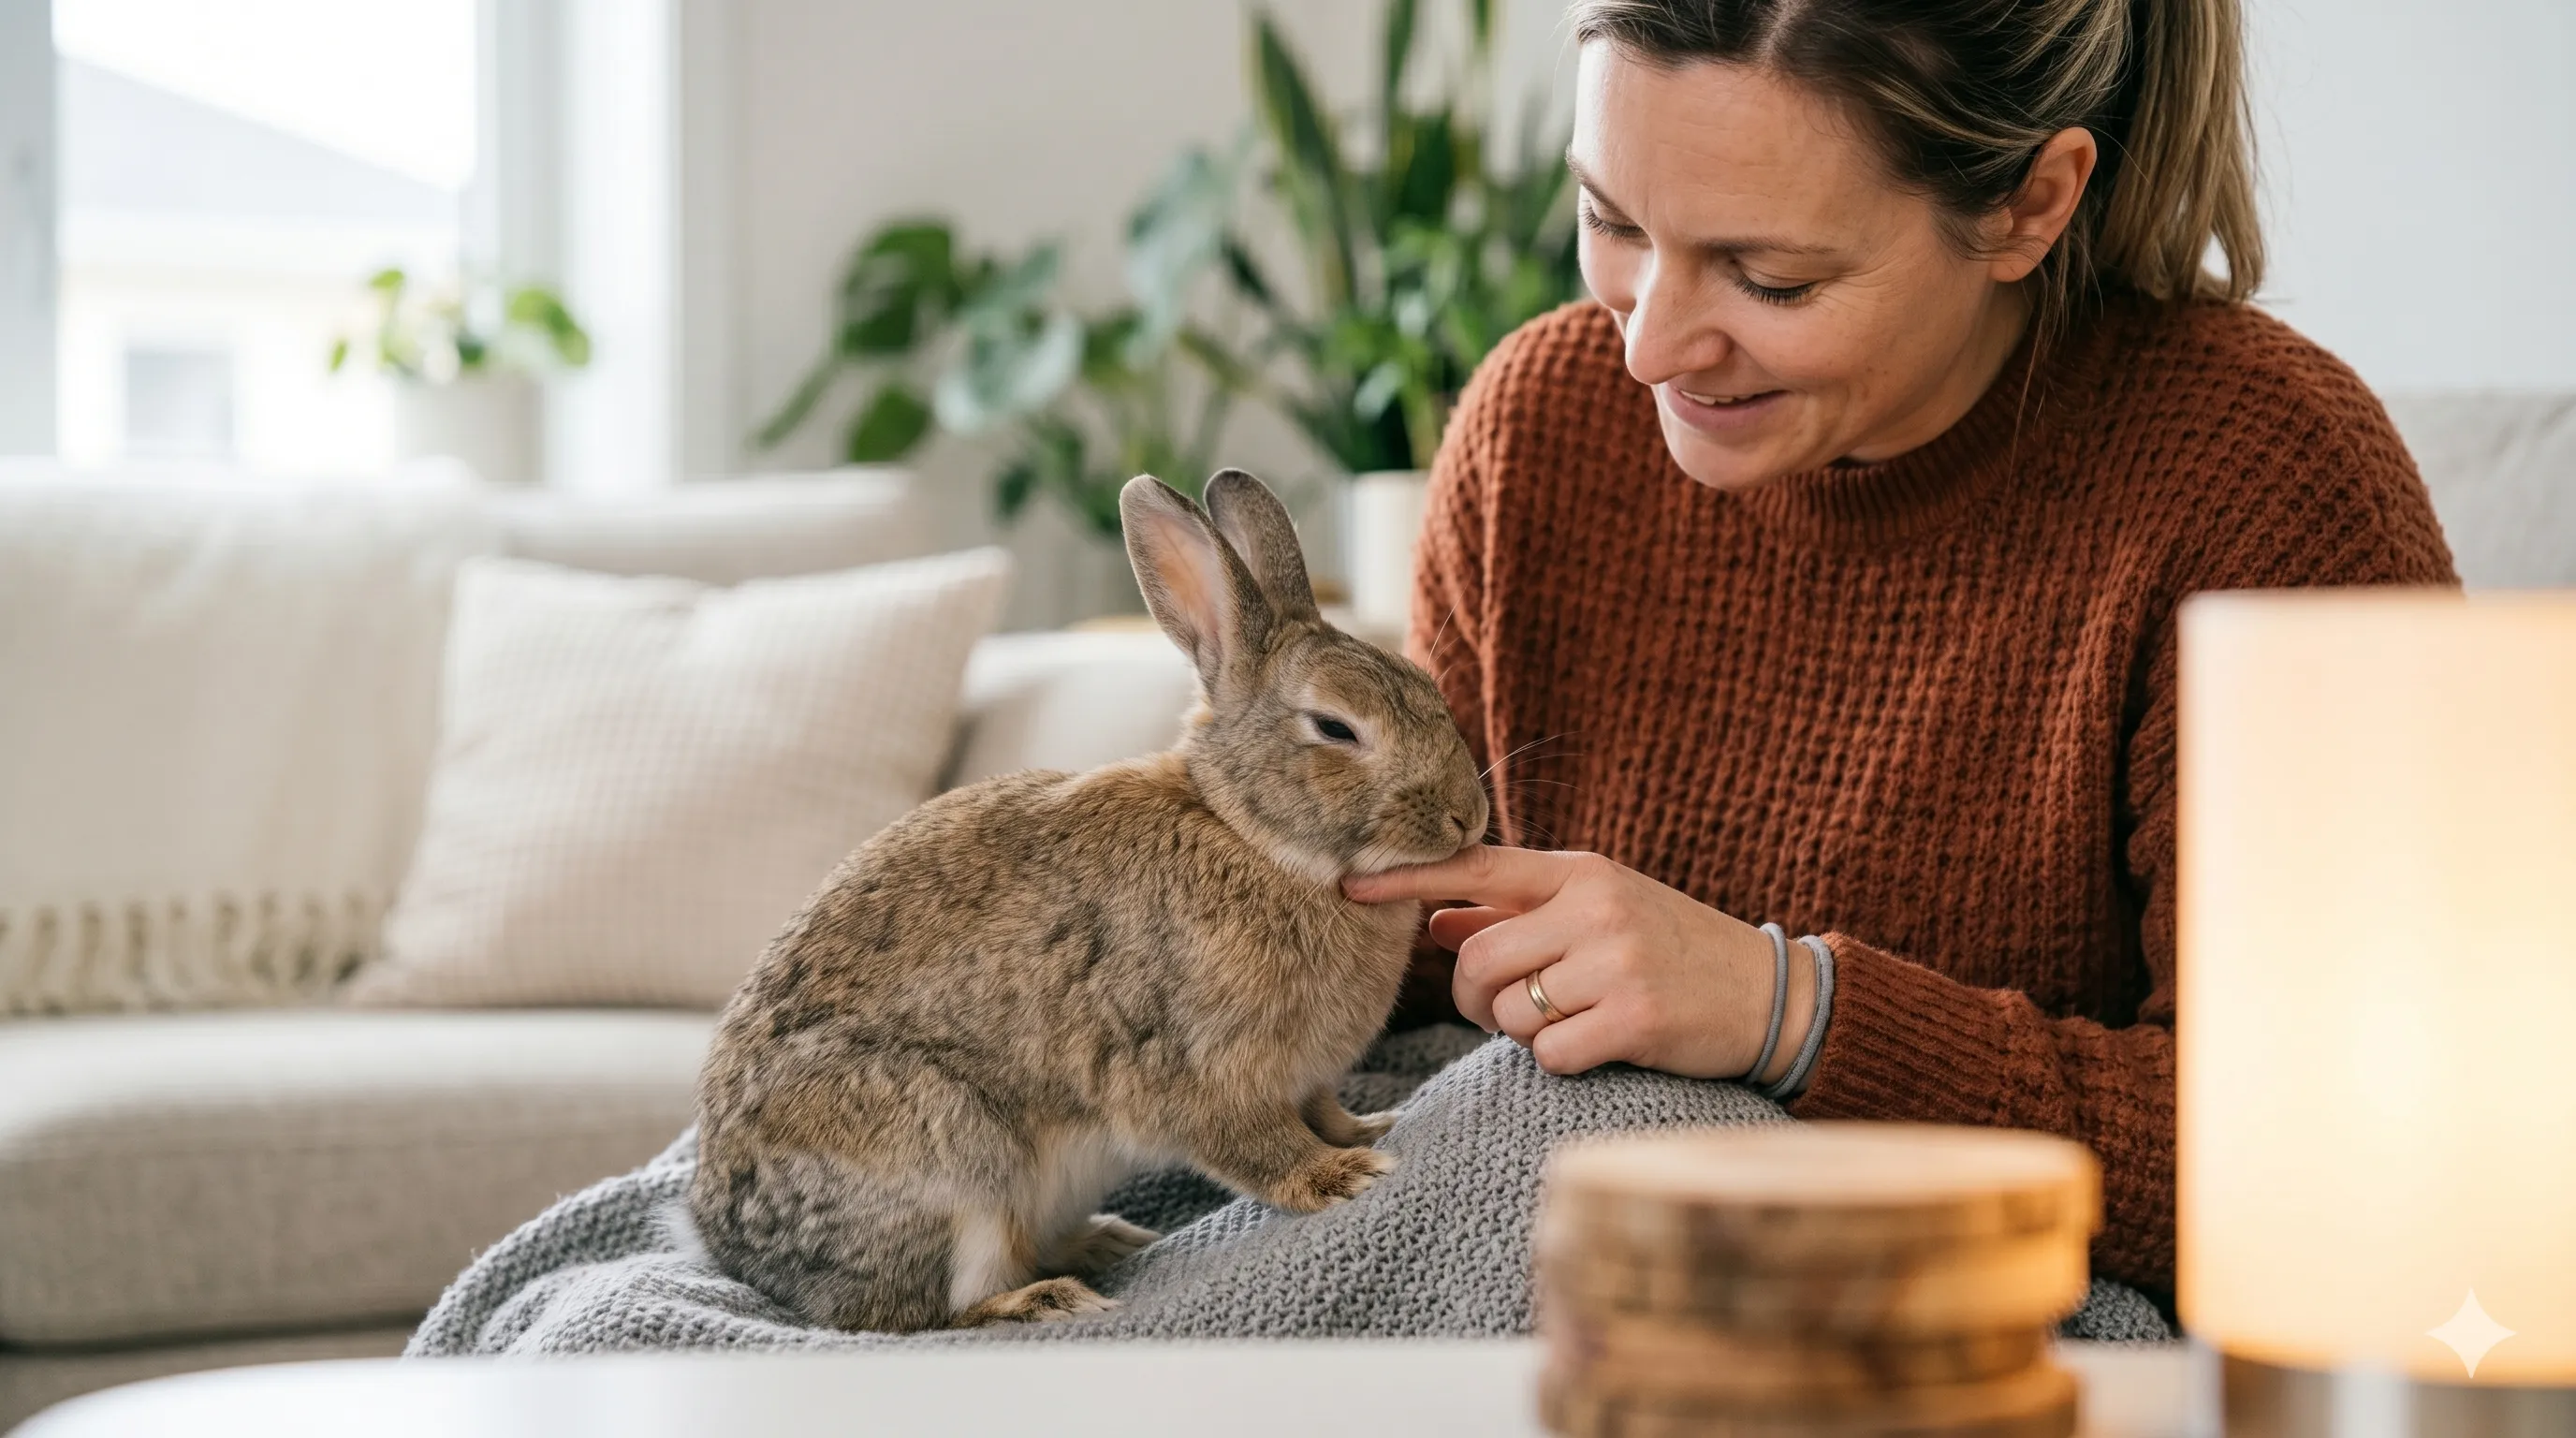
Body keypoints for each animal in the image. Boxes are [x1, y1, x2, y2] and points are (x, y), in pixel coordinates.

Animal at [687, 468, 1490, 1333]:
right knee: (926, 1311)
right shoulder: (1194, 1066)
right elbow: (1255, 1143)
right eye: (1335, 728)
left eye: (1427, 687)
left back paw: (1102, 1241)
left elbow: (1323, 1109)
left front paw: (1365, 1129)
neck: (1249, 836)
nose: (1468, 816)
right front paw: (1342, 1175)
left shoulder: (1302, 1077)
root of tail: (740, 1254)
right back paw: (1046, 1296)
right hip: (950, 1156)